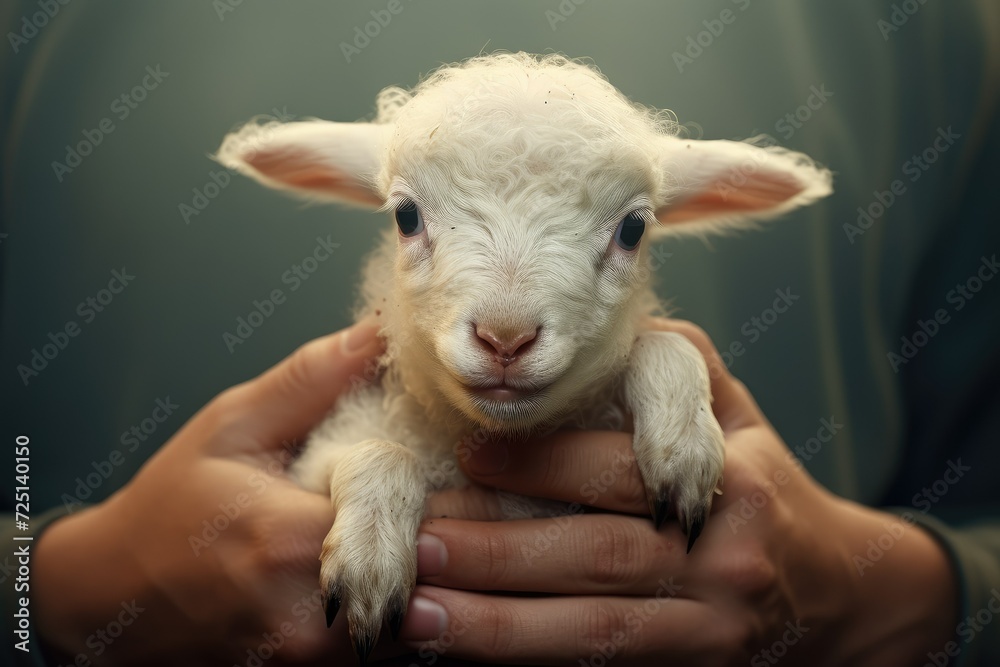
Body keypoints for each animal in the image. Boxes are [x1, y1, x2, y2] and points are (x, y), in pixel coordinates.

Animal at [216, 52, 832, 662]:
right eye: (406, 216)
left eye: (633, 229)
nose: (505, 339)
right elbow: (379, 450)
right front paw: (371, 555)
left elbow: (665, 342)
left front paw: (683, 445)